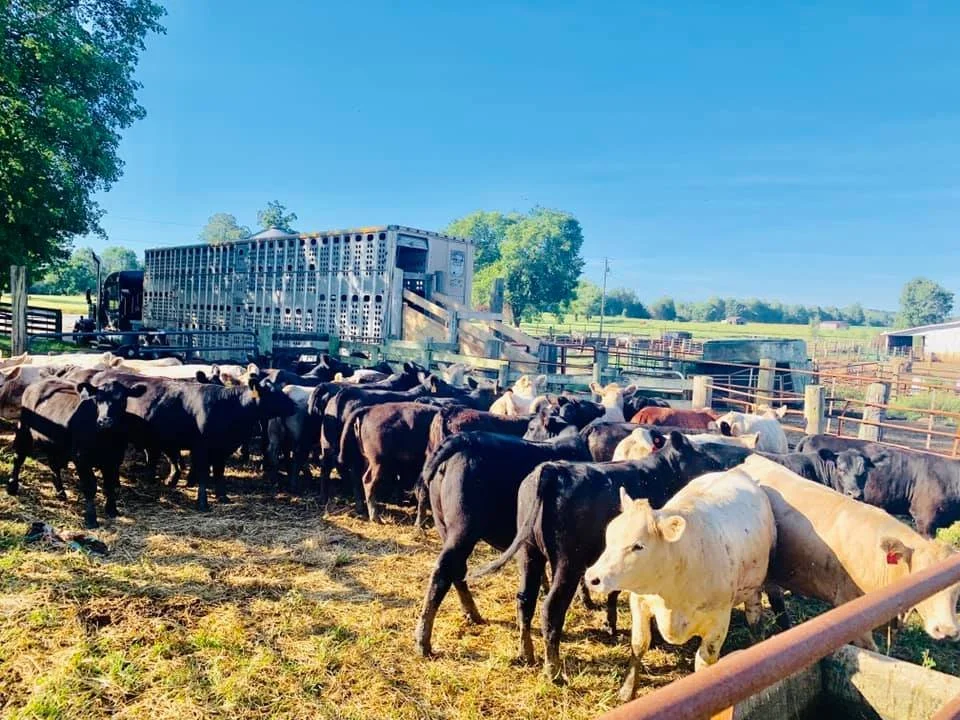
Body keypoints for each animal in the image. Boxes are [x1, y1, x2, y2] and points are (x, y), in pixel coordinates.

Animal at [8, 378, 147, 527]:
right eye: (97, 399)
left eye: (122, 399)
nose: (105, 421)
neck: (105, 439)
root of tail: (38, 383)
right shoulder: (81, 458)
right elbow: (90, 487)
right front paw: (91, 518)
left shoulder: (114, 459)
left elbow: (110, 485)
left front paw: (112, 510)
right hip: (24, 430)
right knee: (18, 458)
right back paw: (12, 486)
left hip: (54, 444)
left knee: (54, 466)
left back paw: (60, 492)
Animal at [412, 431, 591, 657]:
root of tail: (462, 438)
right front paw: (586, 600)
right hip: (463, 530)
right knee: (443, 572)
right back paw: (424, 641)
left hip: (445, 527)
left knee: (457, 571)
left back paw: (473, 614)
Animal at [467, 433, 753, 680]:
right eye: (703, 455)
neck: (660, 471)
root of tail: (551, 470)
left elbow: (614, 591)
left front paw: (611, 624)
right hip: (567, 563)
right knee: (550, 608)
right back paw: (553, 671)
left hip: (529, 553)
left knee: (525, 600)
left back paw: (525, 653)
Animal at [585, 469, 776, 701]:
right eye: (608, 537)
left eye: (638, 546)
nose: (592, 577)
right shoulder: (639, 601)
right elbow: (639, 643)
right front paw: (627, 690)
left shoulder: (719, 620)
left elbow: (704, 661)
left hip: (754, 585)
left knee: (754, 614)